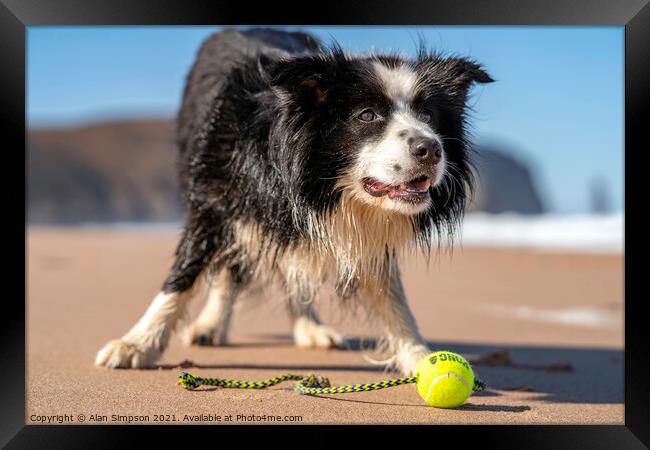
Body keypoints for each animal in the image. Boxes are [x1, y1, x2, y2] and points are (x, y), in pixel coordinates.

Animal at [95, 29, 492, 376]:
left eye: (428, 115)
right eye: (367, 115)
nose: (431, 149)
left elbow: (392, 295)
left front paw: (420, 356)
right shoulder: (213, 197)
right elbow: (183, 274)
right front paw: (135, 345)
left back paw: (309, 328)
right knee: (231, 267)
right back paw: (210, 325)